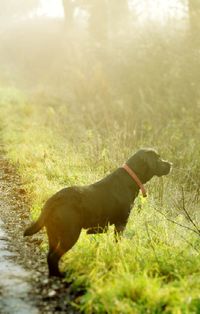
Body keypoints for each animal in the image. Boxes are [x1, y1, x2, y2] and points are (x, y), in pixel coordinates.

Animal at [23, 148, 170, 276]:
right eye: (158, 158)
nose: (171, 164)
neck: (130, 179)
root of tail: (54, 199)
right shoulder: (121, 223)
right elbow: (118, 243)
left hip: (53, 234)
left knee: (49, 256)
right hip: (70, 234)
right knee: (54, 257)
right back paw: (60, 275)